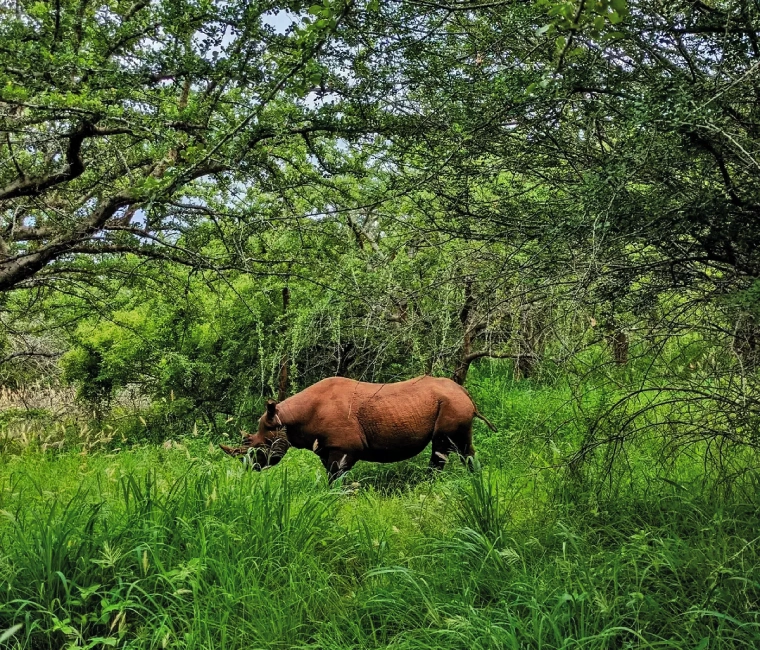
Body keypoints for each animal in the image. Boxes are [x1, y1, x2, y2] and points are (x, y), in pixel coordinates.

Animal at [220, 375, 496, 483]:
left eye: (260, 447)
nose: (249, 468)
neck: (285, 419)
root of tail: (465, 393)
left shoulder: (344, 447)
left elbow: (336, 477)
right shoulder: (328, 447)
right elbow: (332, 476)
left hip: (452, 405)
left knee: (442, 447)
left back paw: (429, 485)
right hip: (455, 404)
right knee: (463, 446)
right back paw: (474, 479)